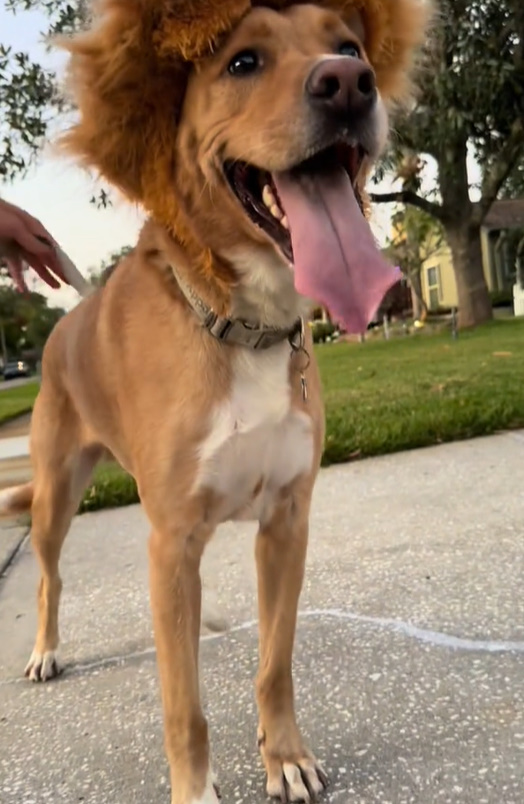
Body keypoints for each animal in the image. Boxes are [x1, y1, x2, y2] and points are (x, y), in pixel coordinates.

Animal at [1, 1, 430, 804]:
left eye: (350, 46)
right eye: (242, 62)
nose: (349, 84)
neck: (244, 325)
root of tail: (68, 321)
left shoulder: (287, 522)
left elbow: (274, 664)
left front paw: (284, 756)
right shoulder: (171, 548)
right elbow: (184, 705)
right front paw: (196, 788)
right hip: (54, 496)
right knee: (49, 579)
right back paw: (44, 650)